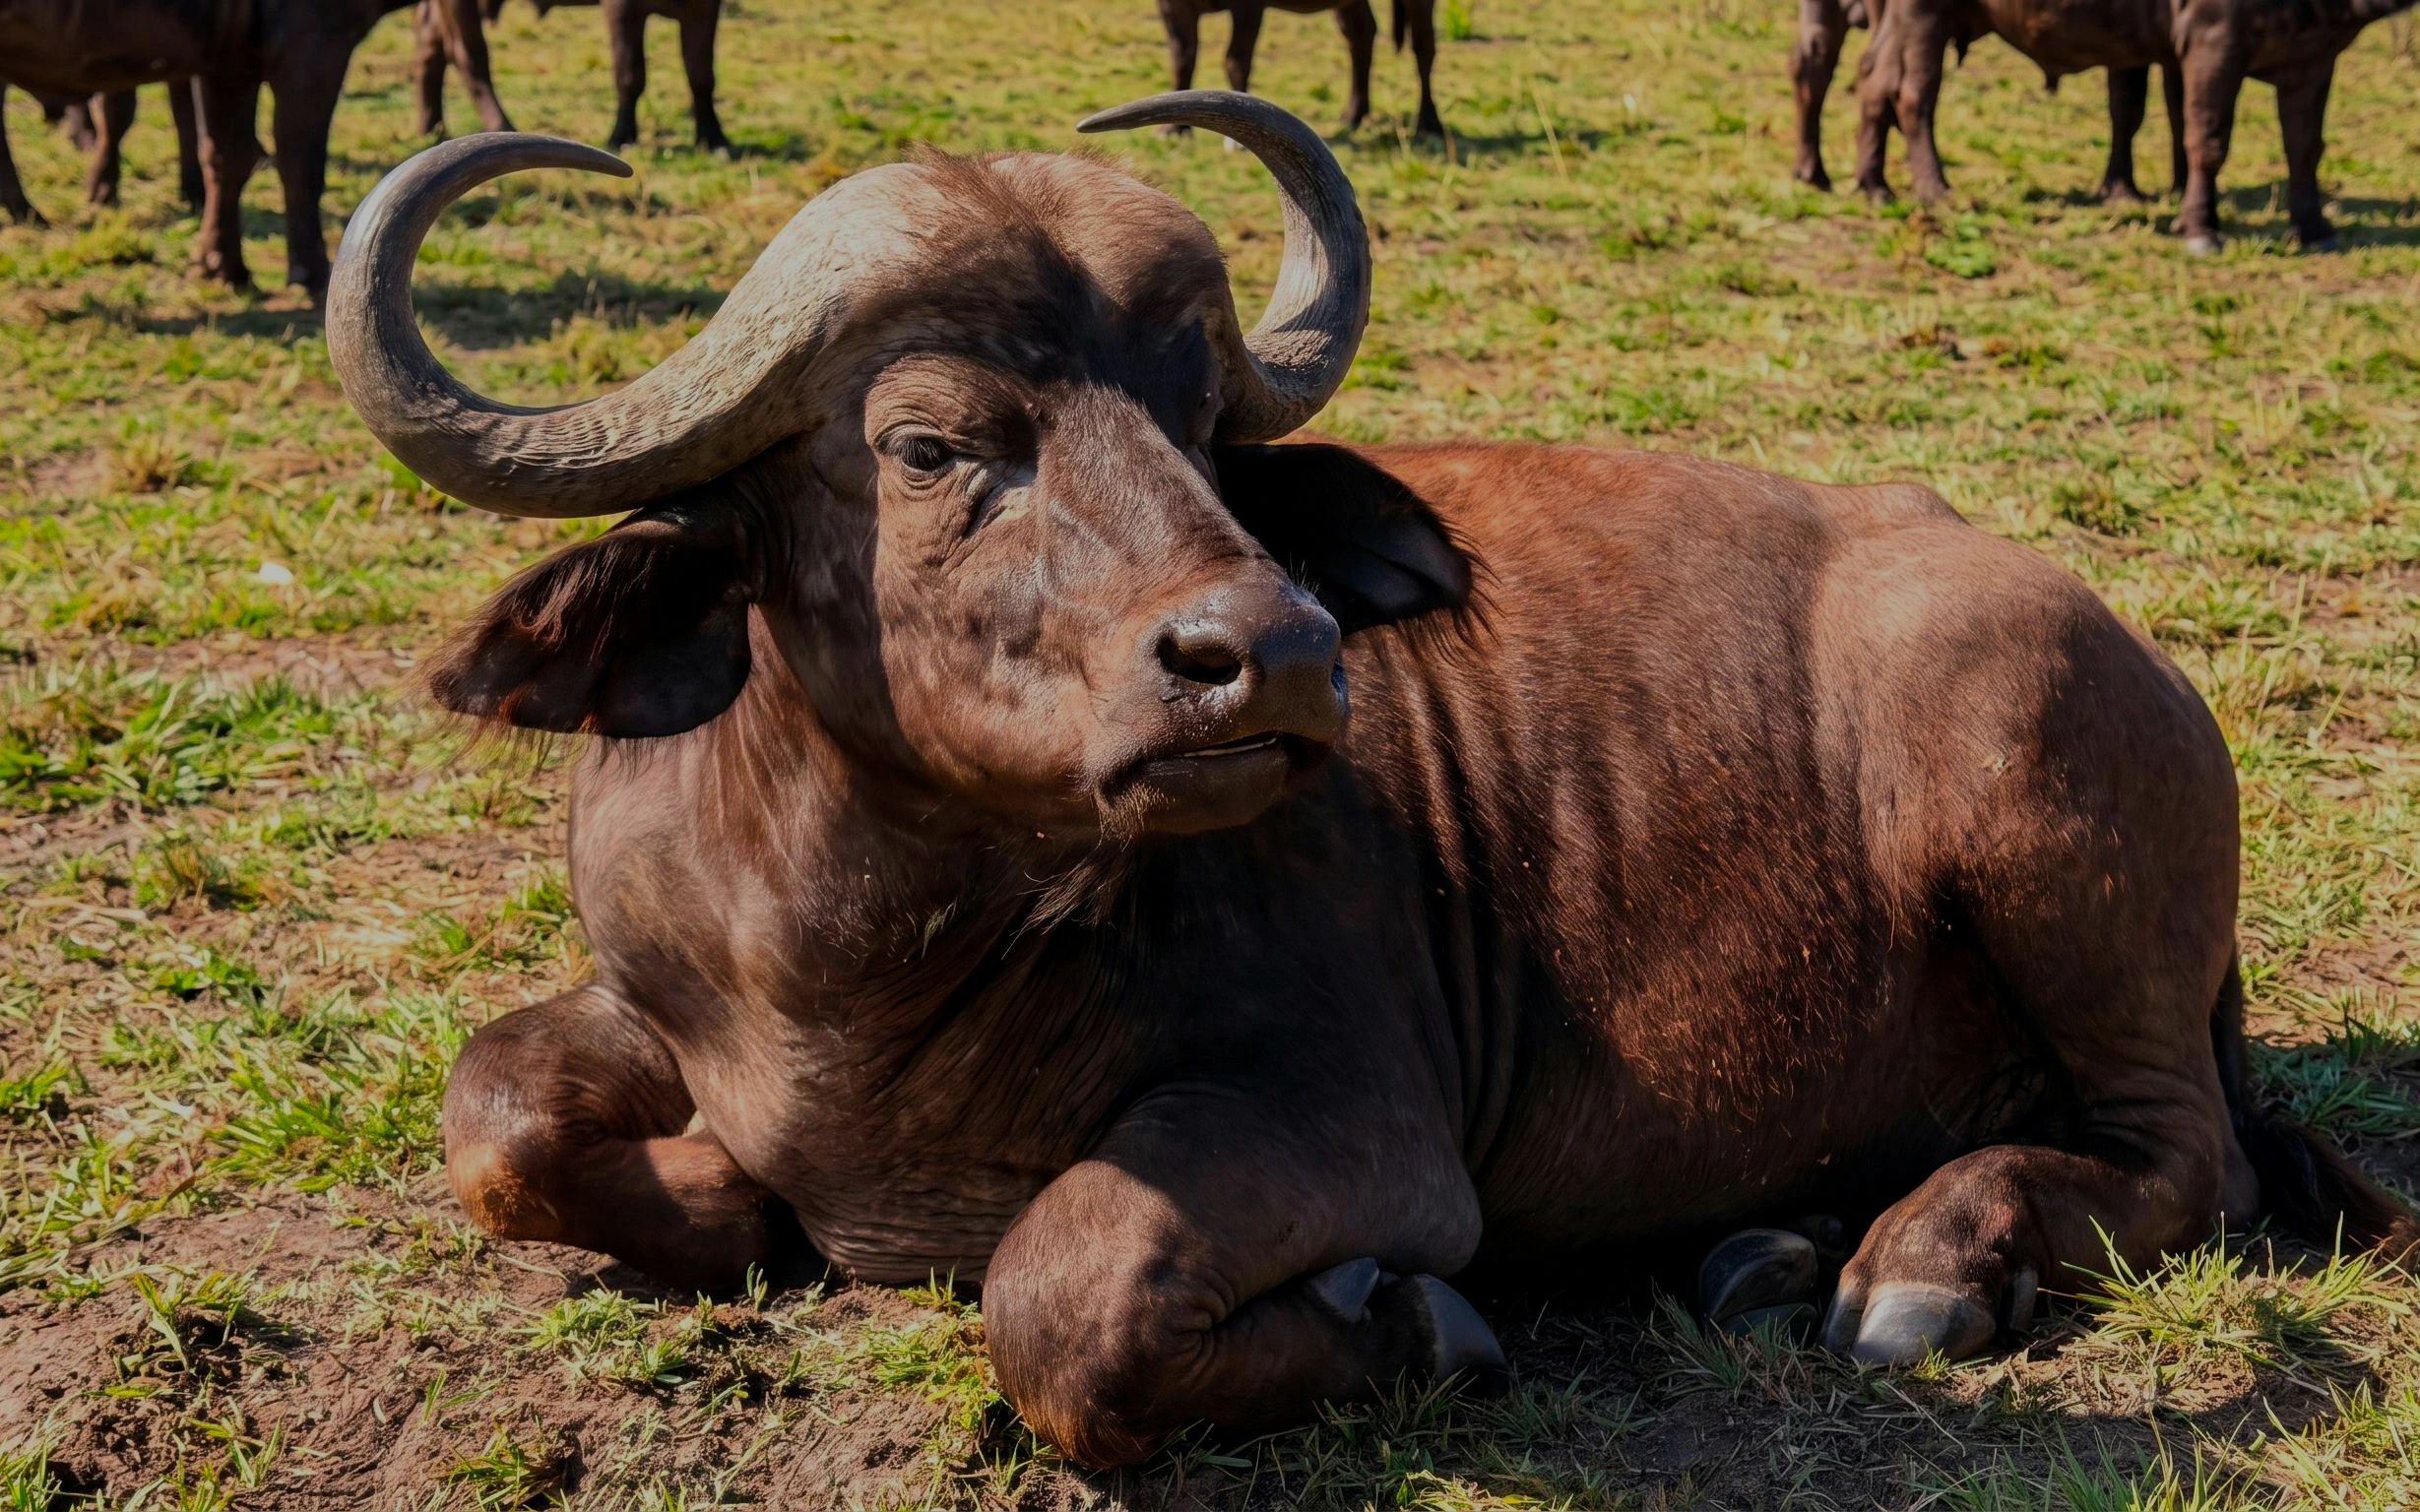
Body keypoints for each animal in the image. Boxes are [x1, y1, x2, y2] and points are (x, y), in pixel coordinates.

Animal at [324, 92, 2413, 1467]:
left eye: (1201, 420)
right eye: (931, 443)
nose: (1277, 651)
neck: (862, 967)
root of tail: (2113, 639)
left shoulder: (1358, 1131)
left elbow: (1059, 1297)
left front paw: (1409, 1321)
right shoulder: (636, 982)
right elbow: (492, 1115)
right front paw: (721, 1194)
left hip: (2039, 824)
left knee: (2188, 1156)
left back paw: (1921, 1266)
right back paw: (1764, 1248)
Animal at [412, 0, 729, 153]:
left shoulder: (705, 8)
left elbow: (701, 75)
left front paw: (712, 137)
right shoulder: (622, 8)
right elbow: (630, 74)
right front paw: (623, 136)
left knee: (431, 43)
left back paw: (433, 126)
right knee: (468, 56)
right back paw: (501, 124)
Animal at [1157, 0, 1444, 136]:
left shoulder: (1248, 6)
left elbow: (1236, 59)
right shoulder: (1172, 5)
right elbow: (1182, 57)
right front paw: (1175, 128)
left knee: (1424, 46)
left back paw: (1428, 122)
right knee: (1361, 35)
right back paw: (1353, 114)